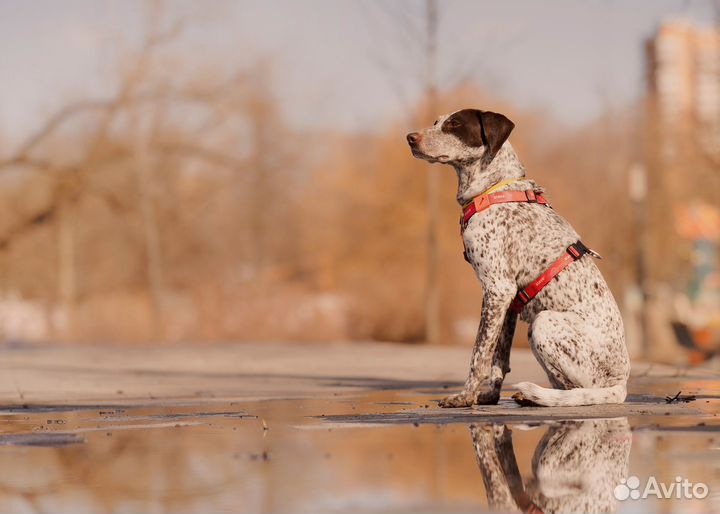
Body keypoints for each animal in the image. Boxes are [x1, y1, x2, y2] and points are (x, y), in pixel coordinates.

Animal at [408, 108, 628, 404]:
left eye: (454, 124)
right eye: (436, 122)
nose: (410, 138)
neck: (493, 189)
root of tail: (621, 385)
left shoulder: (498, 289)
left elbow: (479, 355)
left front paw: (465, 396)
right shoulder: (508, 300)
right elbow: (499, 359)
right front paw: (488, 396)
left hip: (544, 323)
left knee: (580, 390)